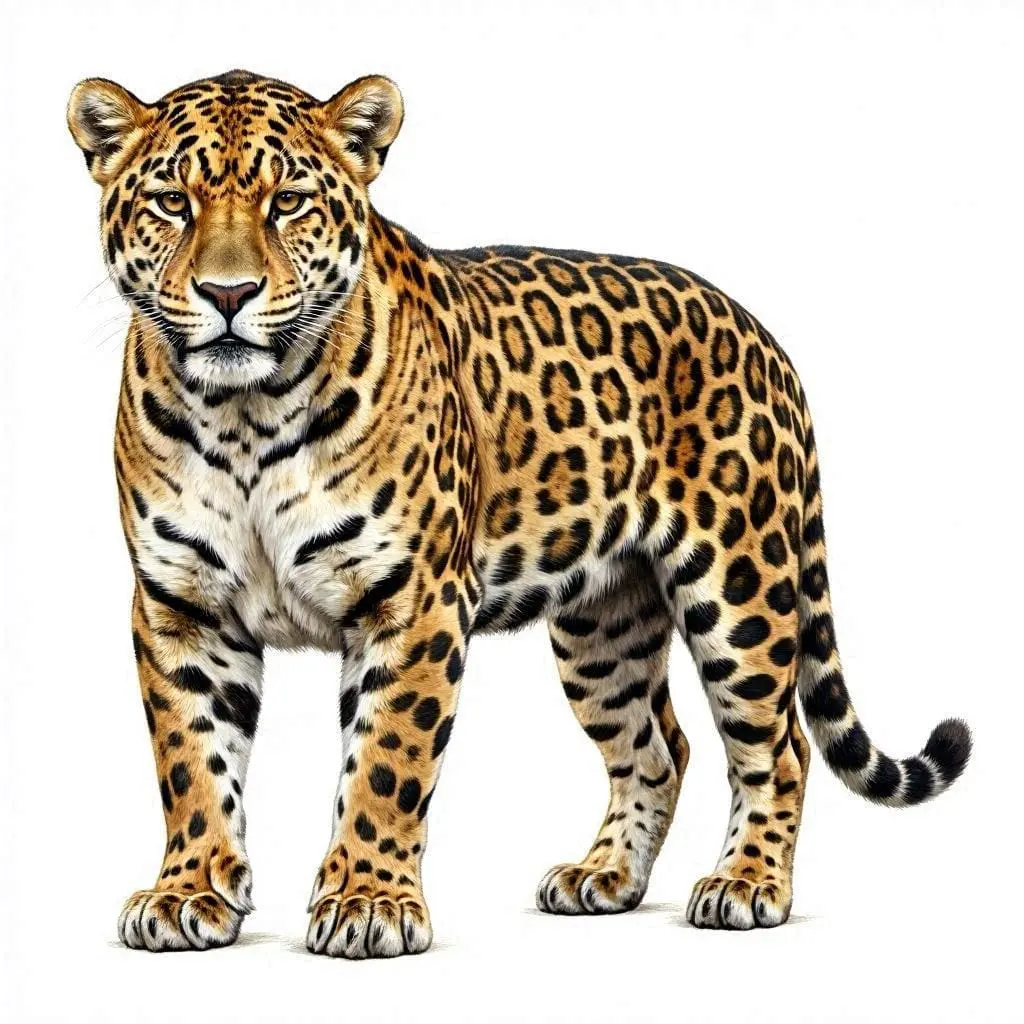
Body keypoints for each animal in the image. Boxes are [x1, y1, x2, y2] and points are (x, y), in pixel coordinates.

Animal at [68, 69, 971, 958]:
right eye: (172, 202)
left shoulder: (414, 600)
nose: (228, 293)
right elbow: (191, 760)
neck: (243, 415)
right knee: (657, 748)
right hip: (603, 626)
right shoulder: (180, 606)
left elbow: (386, 761)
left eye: (287, 202)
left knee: (778, 748)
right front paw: (189, 892)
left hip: (742, 588)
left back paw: (747, 884)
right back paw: (604, 876)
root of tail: (763, 335)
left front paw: (369, 901)